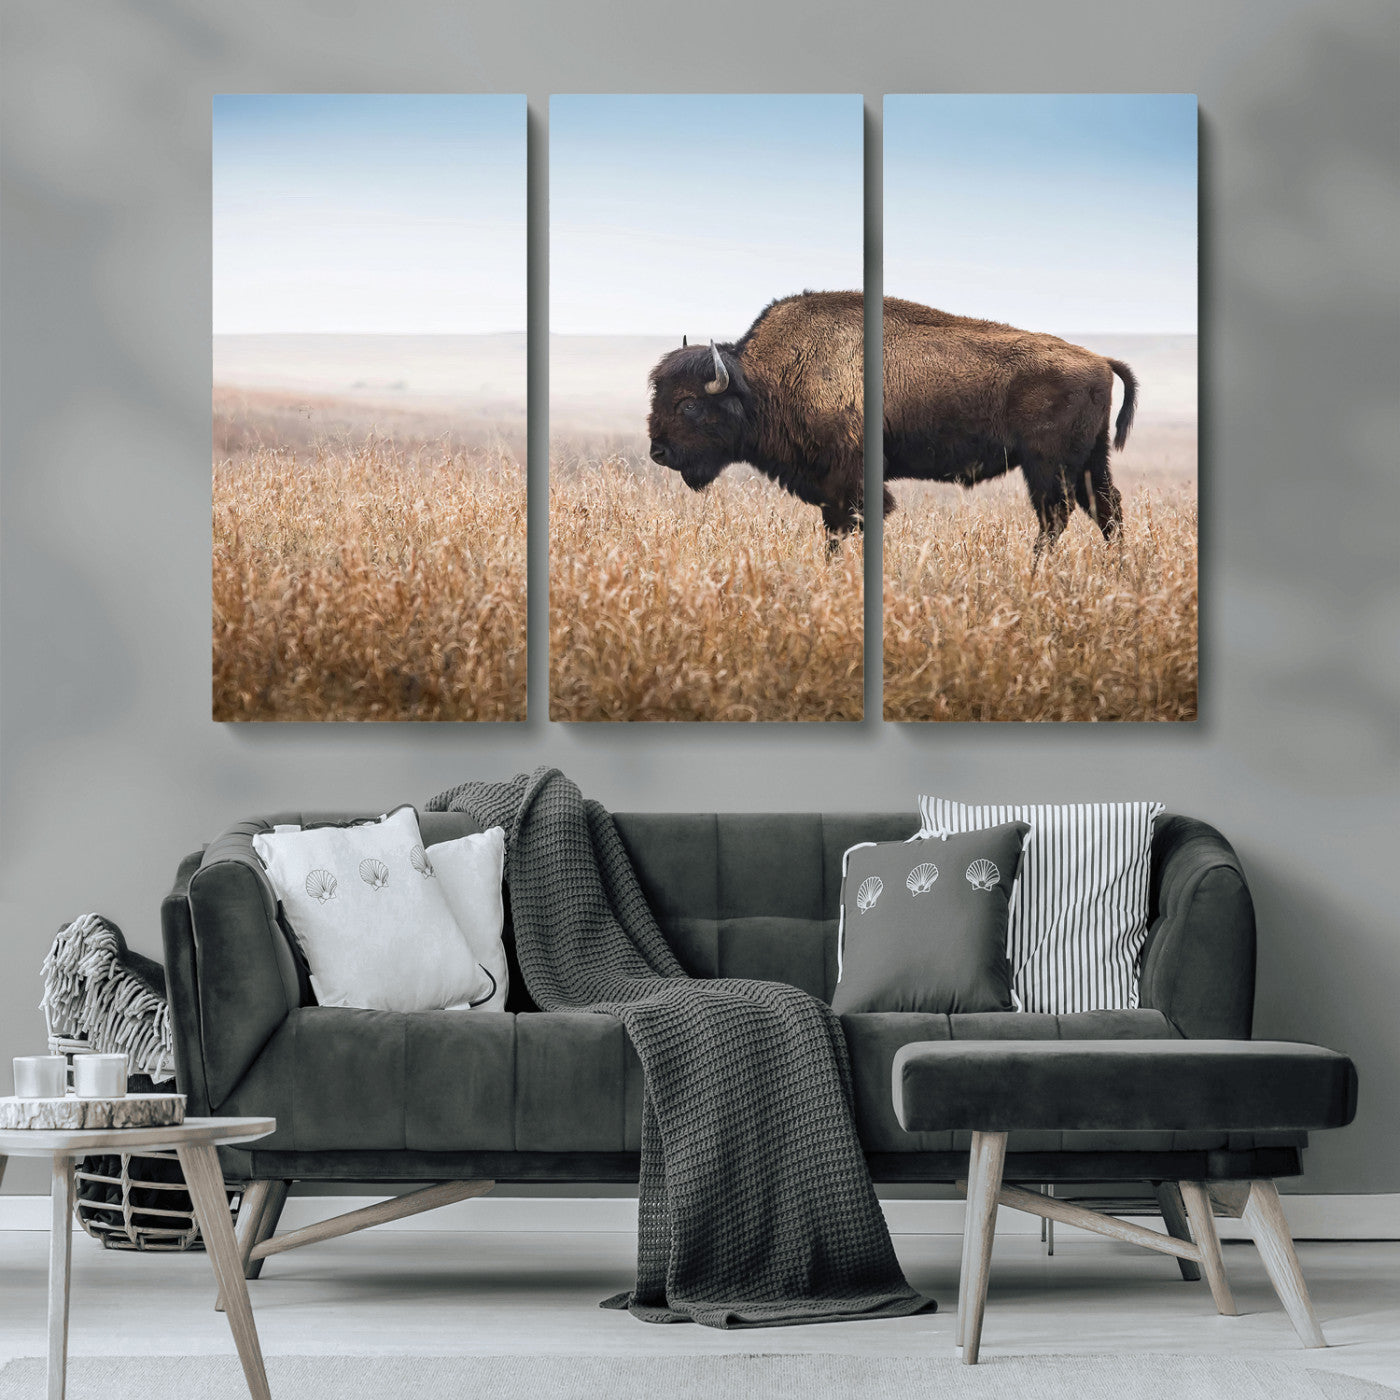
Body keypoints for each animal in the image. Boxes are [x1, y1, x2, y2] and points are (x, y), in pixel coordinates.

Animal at [647, 290, 1137, 553]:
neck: (765, 380)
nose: (658, 452)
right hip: (1089, 461)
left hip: (1048, 466)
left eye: (689, 403)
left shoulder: (850, 481)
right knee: (1106, 509)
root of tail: (1100, 360)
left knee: (1056, 517)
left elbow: (847, 526)